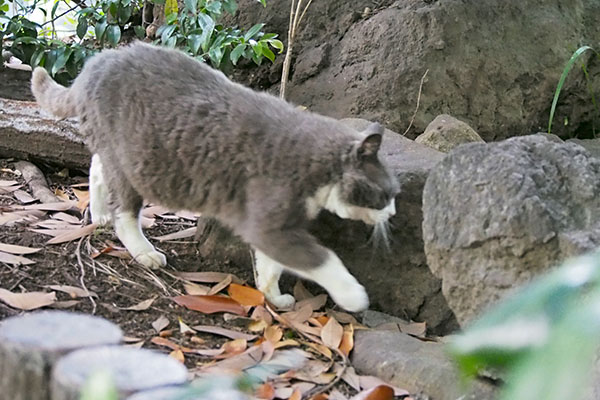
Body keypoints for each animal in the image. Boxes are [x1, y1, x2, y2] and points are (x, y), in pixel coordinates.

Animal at [31, 42, 398, 312]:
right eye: (387, 194)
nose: (393, 213)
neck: (313, 161)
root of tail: (96, 62)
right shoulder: (270, 221)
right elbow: (323, 258)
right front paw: (354, 297)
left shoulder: (275, 227)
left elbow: (270, 265)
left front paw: (273, 297)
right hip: (130, 164)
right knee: (125, 212)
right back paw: (144, 251)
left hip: (111, 150)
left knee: (96, 167)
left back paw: (100, 213)